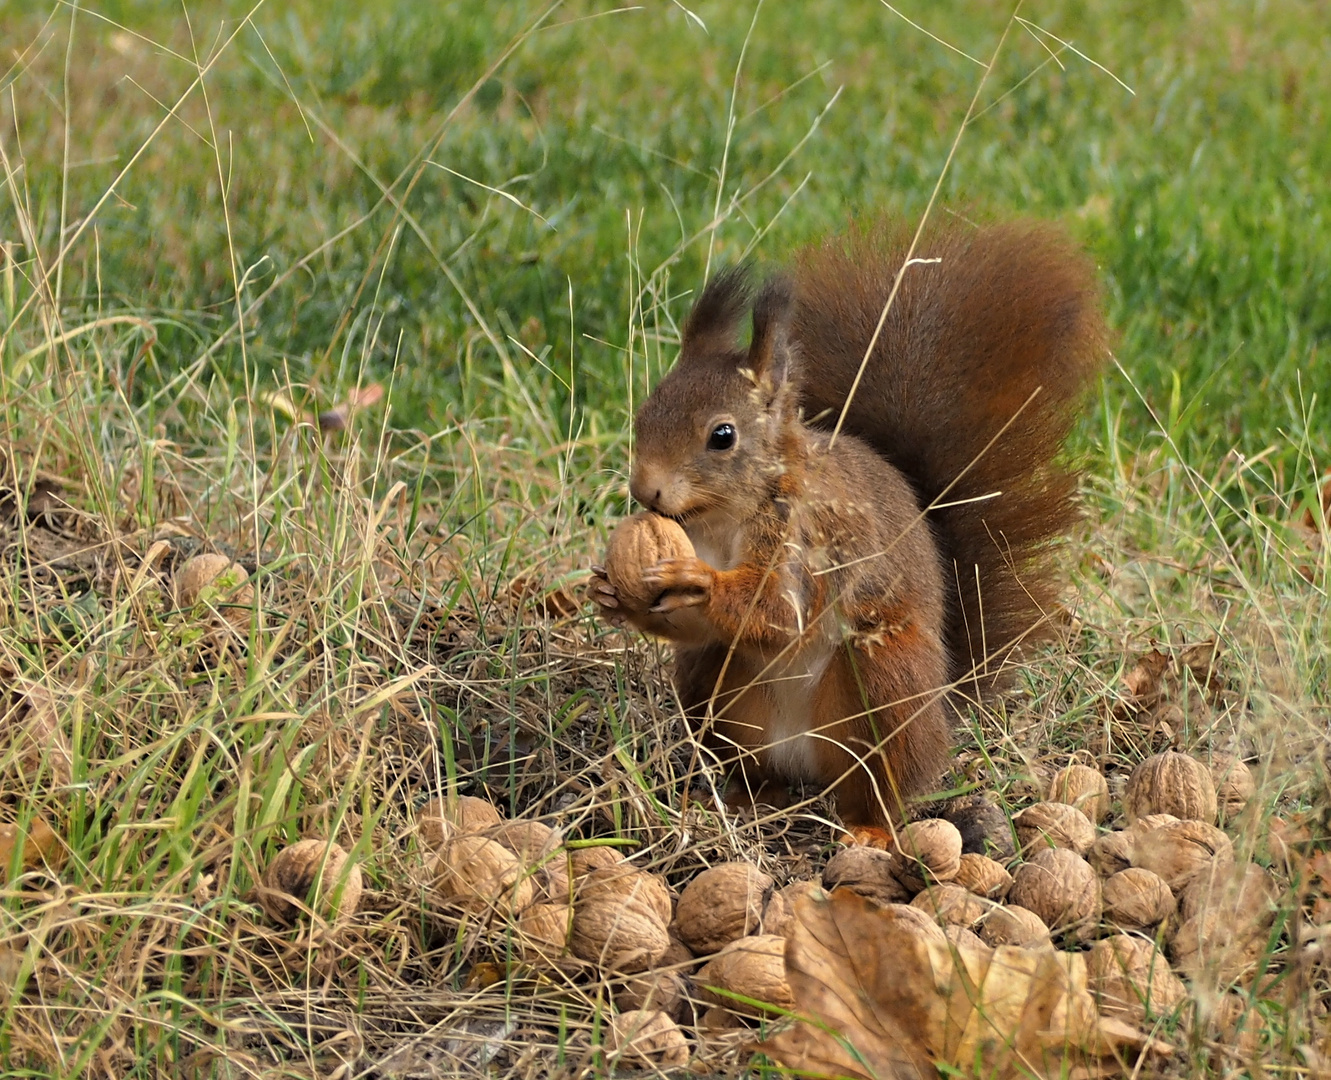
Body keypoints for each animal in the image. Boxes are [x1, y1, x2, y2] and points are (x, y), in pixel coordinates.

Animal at [593, 217, 1102, 825]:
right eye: (645, 411)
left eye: (722, 435)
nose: (644, 489)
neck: (720, 523)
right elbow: (702, 626)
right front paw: (610, 592)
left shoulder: (809, 538)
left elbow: (779, 612)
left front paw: (697, 580)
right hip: (714, 694)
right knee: (749, 749)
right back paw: (744, 796)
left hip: (883, 681)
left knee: (883, 787)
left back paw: (870, 828)